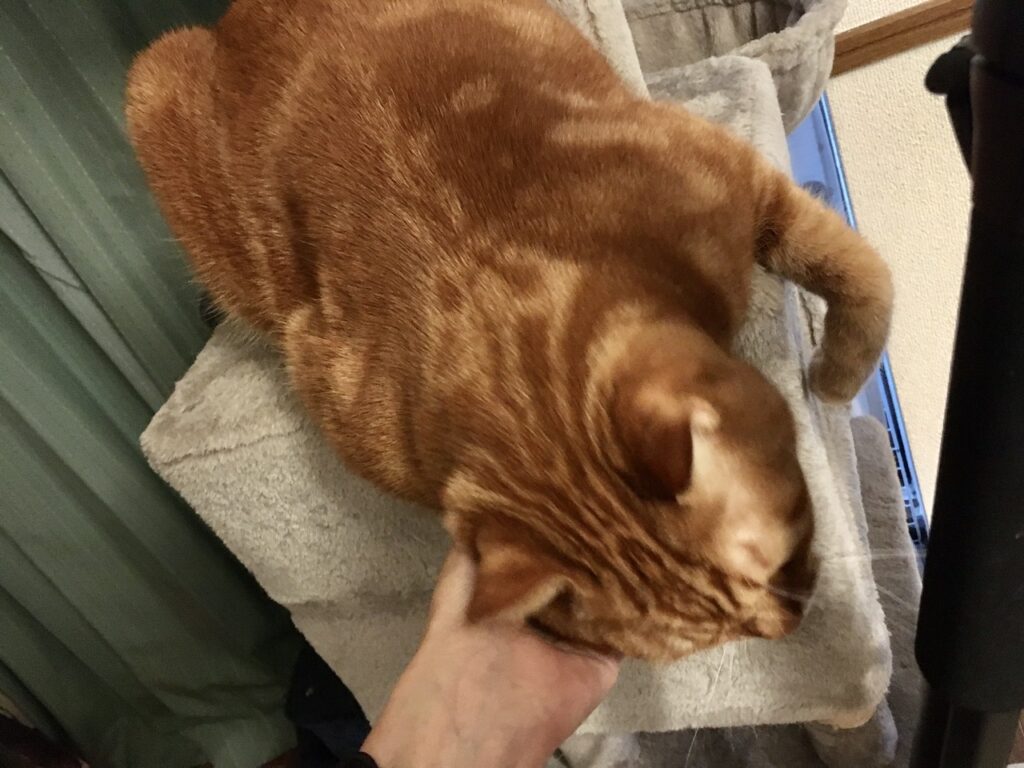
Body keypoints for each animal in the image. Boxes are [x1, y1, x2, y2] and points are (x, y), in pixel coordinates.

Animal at [125, 0, 892, 660]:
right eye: (710, 641)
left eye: (776, 562)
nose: (790, 625)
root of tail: (235, 15)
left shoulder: (743, 183)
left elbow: (861, 273)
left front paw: (833, 378)